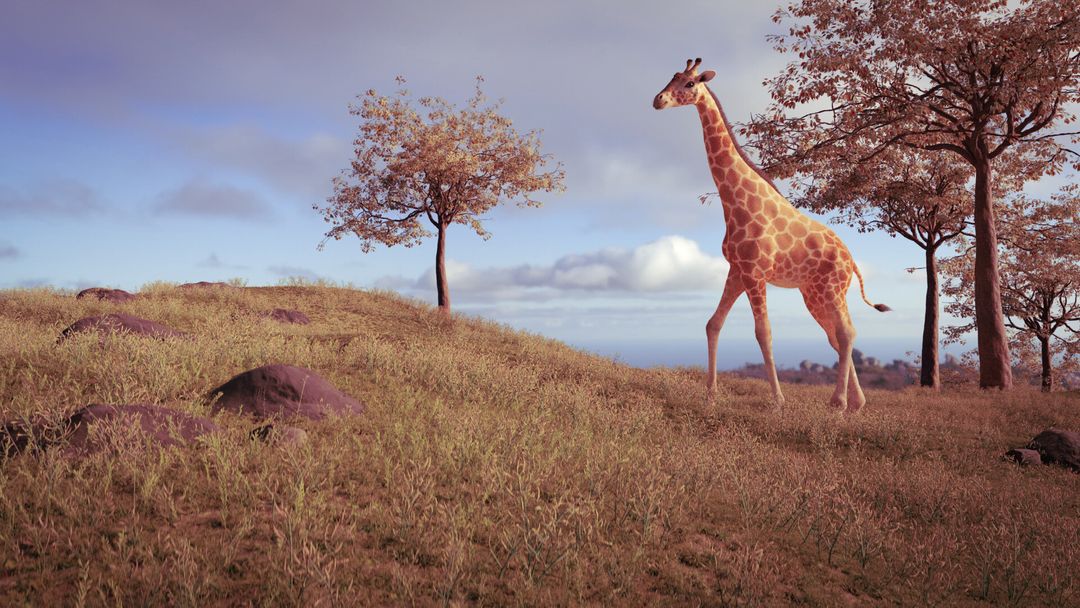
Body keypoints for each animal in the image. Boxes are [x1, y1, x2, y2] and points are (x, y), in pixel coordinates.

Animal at [653, 58, 890, 412]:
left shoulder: (755, 273)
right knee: (838, 336)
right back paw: (856, 403)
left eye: (690, 84)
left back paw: (838, 402)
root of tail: (851, 261)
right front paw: (710, 395)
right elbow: (713, 323)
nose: (658, 100)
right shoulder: (737, 270)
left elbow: (763, 333)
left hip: (830, 289)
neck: (735, 200)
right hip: (814, 293)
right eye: (673, 78)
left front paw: (778, 400)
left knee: (847, 333)